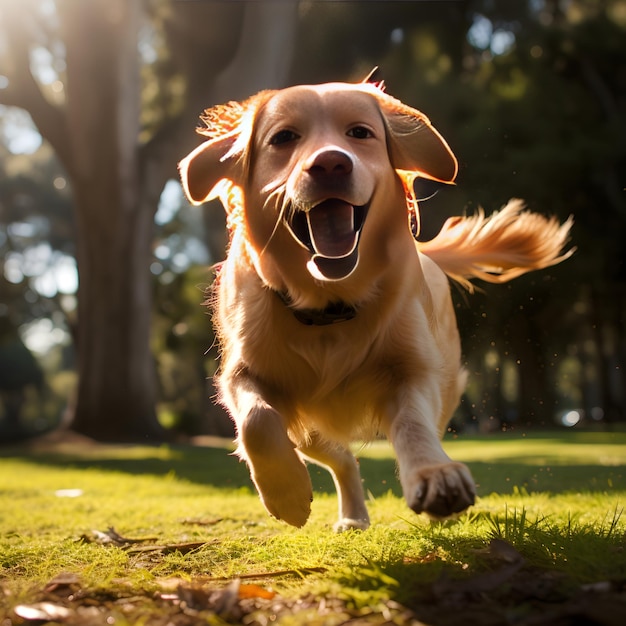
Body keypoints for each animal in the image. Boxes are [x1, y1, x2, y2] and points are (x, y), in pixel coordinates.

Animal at [178, 75, 572, 528]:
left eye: (360, 133)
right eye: (284, 138)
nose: (331, 164)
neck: (330, 306)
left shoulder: (412, 372)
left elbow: (412, 424)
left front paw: (435, 476)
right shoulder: (243, 374)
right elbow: (257, 421)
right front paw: (287, 494)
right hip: (309, 429)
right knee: (342, 458)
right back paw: (352, 516)